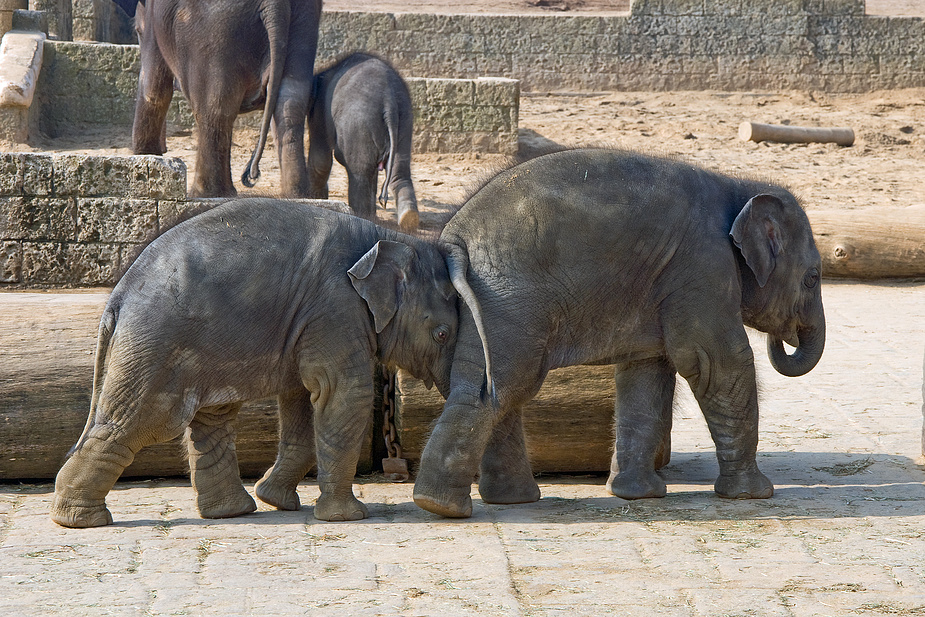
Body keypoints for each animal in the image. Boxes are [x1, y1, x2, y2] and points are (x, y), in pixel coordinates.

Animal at [49, 200, 454, 528]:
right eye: (442, 334)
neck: (387, 235)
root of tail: (117, 296)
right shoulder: (335, 308)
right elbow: (342, 392)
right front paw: (348, 517)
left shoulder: (308, 321)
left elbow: (302, 397)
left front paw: (275, 499)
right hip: (157, 343)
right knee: (141, 421)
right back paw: (80, 521)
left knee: (211, 417)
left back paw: (232, 512)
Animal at [132, 0, 322, 197]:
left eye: (137, 31)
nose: (162, 149)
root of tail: (274, 4)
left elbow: (154, 87)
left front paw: (145, 155)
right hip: (303, 25)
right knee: (291, 102)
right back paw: (295, 195)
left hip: (216, 33)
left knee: (214, 106)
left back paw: (204, 193)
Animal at [306, 51, 418, 231]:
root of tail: (389, 101)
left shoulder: (319, 113)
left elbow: (320, 158)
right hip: (405, 120)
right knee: (398, 171)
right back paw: (409, 218)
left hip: (359, 123)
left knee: (359, 172)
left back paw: (363, 216)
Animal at [412, 148, 824, 516]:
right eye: (812, 278)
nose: (787, 333)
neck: (739, 186)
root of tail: (454, 237)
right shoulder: (704, 266)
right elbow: (717, 364)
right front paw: (755, 494)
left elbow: (646, 372)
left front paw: (636, 495)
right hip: (509, 298)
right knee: (510, 383)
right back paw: (447, 506)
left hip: (484, 302)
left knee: (487, 387)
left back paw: (478, 502)